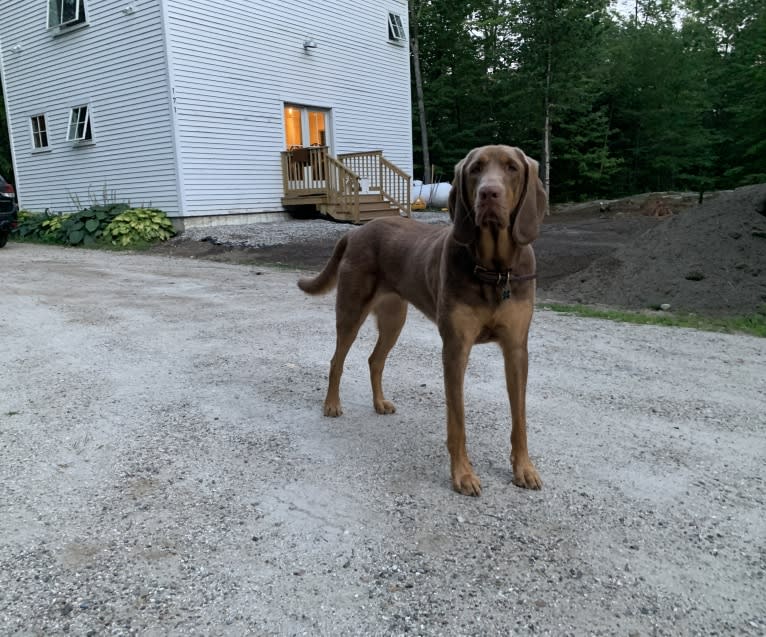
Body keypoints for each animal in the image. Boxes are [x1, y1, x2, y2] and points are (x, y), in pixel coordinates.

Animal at [296, 147, 548, 494]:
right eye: (476, 169)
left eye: (511, 167)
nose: (488, 194)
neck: (494, 270)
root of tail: (355, 230)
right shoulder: (455, 348)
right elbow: (457, 420)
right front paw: (463, 475)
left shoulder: (516, 348)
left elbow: (519, 417)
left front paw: (524, 468)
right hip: (351, 310)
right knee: (337, 359)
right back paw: (332, 404)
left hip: (394, 318)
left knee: (375, 360)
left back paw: (380, 402)